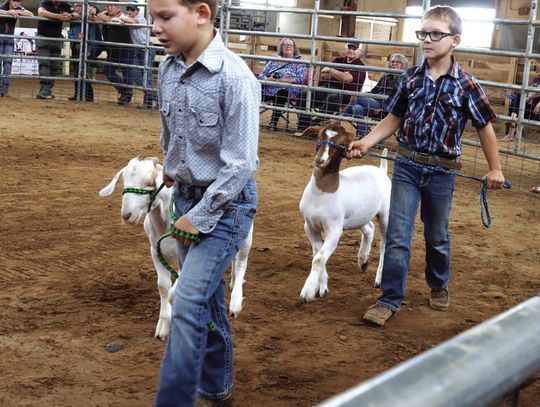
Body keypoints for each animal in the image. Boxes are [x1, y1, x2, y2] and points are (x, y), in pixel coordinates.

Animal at [298, 123, 390, 302]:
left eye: (342, 144)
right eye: (319, 137)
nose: (320, 161)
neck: (322, 193)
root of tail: (381, 171)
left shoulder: (334, 229)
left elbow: (319, 258)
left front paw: (308, 291)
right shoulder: (309, 225)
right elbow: (317, 253)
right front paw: (321, 288)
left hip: (385, 214)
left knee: (384, 244)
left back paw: (379, 278)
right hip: (358, 215)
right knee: (369, 228)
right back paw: (362, 260)